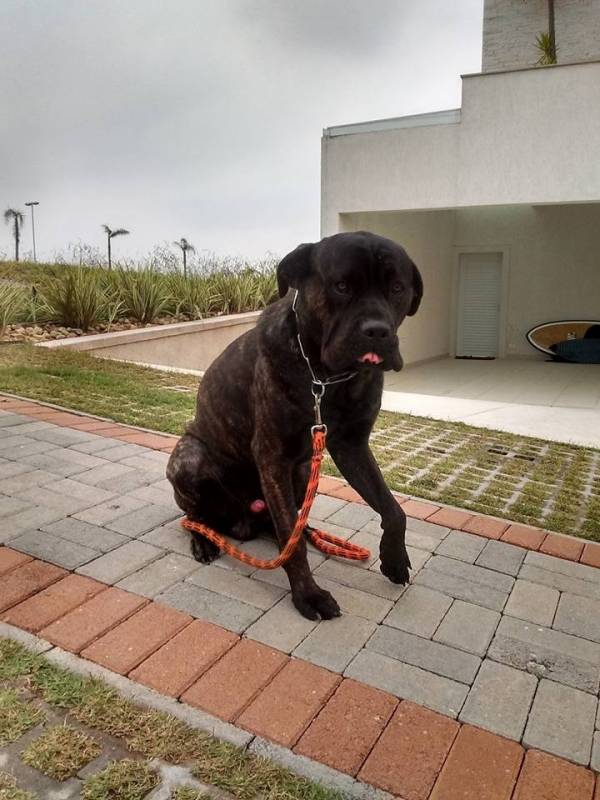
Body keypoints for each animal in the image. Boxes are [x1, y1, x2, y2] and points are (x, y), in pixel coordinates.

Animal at [166, 231, 424, 620]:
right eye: (342, 286)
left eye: (396, 287)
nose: (377, 331)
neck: (325, 379)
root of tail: (242, 520)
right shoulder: (274, 456)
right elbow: (293, 544)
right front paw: (309, 595)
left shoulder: (352, 447)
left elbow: (393, 508)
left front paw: (395, 559)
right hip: (189, 458)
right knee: (197, 517)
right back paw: (204, 540)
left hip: (302, 473)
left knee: (284, 527)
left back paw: (304, 532)